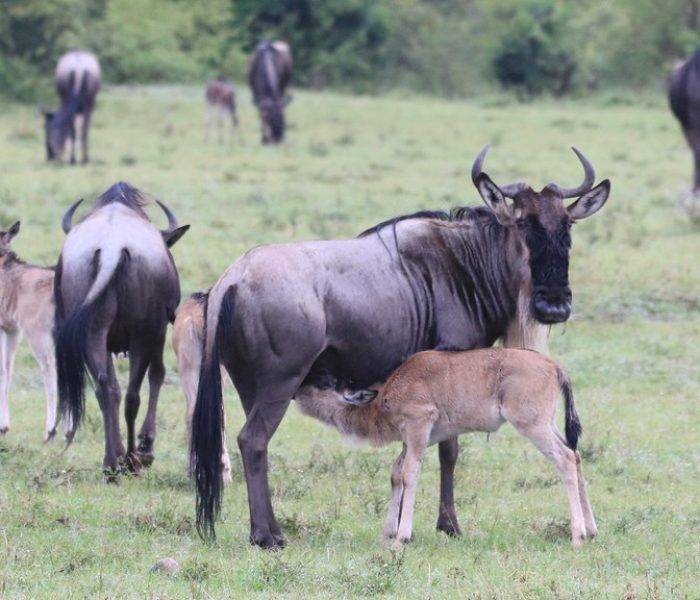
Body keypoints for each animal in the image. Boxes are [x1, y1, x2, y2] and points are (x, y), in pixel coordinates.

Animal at [298, 346, 600, 548]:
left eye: (322, 379)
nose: (298, 383)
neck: (387, 392)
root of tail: (553, 366)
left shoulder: (419, 425)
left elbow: (409, 473)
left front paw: (402, 537)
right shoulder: (413, 438)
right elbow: (396, 473)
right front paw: (387, 534)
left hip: (532, 425)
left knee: (564, 458)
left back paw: (577, 535)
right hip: (547, 424)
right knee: (576, 455)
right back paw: (592, 530)